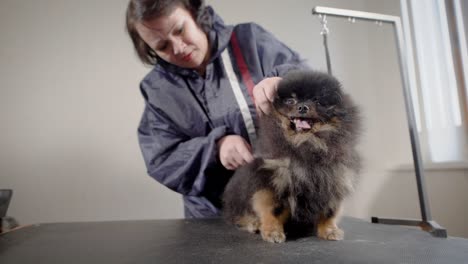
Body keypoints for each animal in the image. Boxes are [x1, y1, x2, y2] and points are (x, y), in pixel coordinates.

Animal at [223, 70, 362, 243]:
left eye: (317, 100)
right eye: (291, 100)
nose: (302, 107)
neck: (306, 142)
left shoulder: (332, 179)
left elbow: (329, 211)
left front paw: (329, 230)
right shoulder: (274, 178)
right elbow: (273, 209)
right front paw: (272, 231)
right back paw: (253, 223)